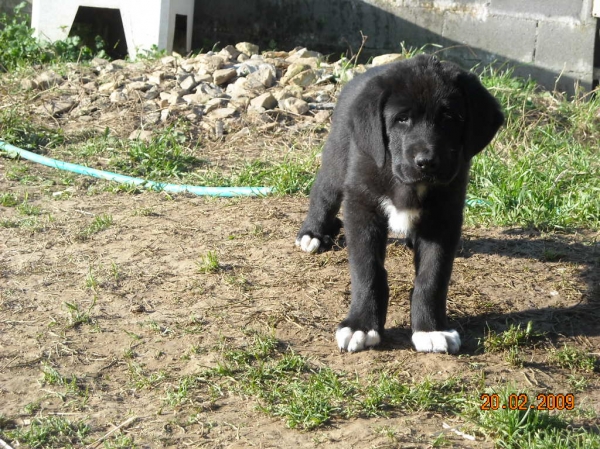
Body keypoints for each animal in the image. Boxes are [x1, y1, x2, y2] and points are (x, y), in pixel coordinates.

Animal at [298, 53, 504, 354]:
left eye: (450, 118)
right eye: (402, 119)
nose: (426, 162)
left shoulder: (444, 216)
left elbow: (433, 277)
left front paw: (431, 328)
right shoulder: (362, 205)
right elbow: (367, 271)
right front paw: (361, 325)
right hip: (338, 157)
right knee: (323, 191)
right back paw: (314, 233)